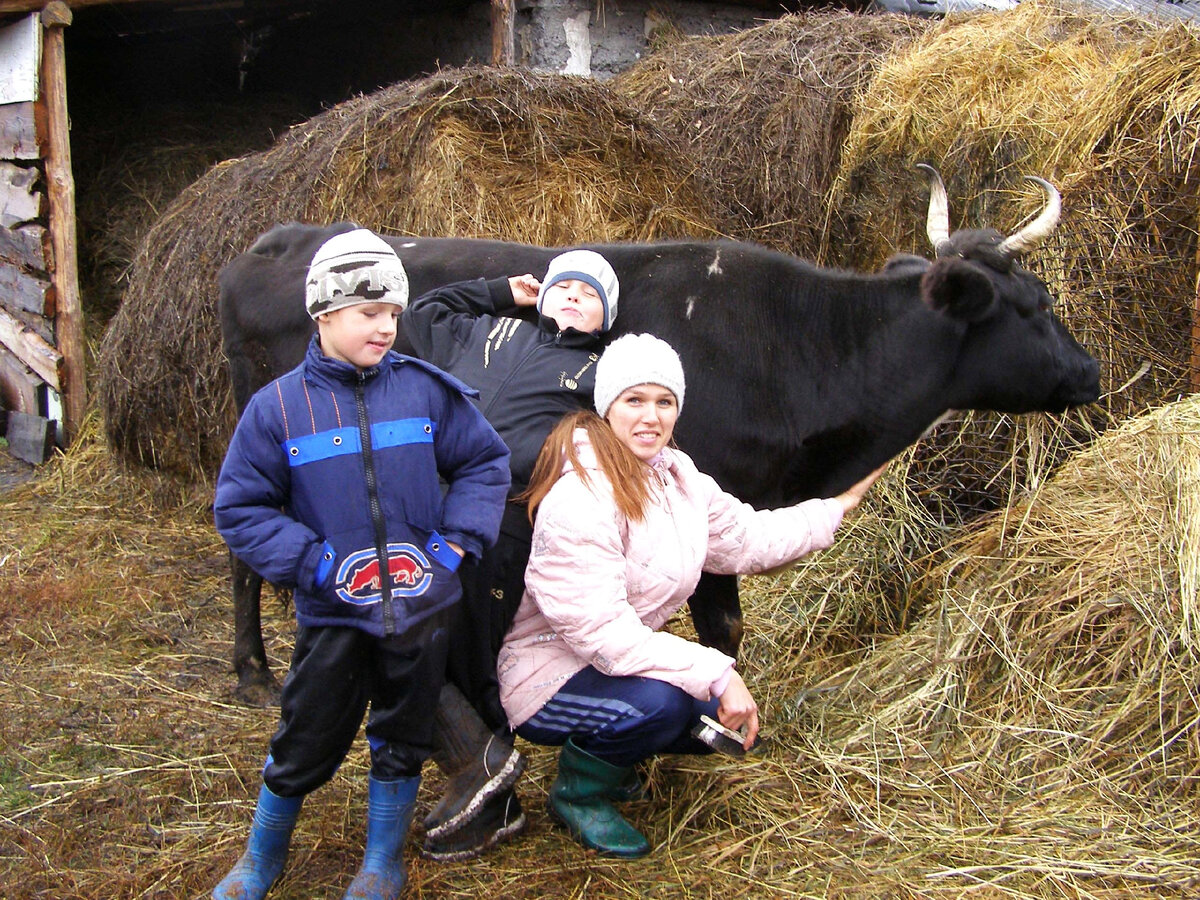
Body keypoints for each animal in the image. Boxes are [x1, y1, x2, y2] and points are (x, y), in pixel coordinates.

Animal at [213, 168, 1099, 705]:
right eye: (1036, 304)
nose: (1090, 373)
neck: (804, 347)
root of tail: (279, 239)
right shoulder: (710, 493)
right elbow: (724, 627)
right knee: (243, 553)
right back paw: (253, 669)